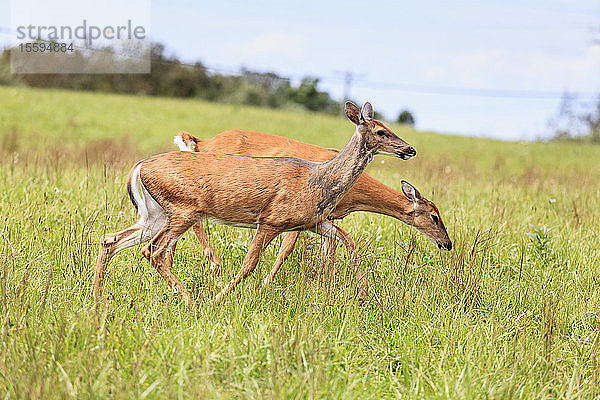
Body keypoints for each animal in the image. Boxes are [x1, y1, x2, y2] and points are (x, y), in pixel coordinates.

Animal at [94, 101, 418, 304]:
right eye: (381, 131)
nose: (410, 149)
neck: (320, 178)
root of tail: (139, 167)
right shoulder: (271, 219)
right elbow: (251, 263)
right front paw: (219, 297)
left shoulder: (312, 222)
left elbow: (346, 242)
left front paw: (362, 293)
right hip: (183, 210)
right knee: (154, 250)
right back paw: (189, 297)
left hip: (155, 214)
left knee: (112, 239)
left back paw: (96, 293)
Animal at [171, 126, 452, 288]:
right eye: (434, 216)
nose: (447, 243)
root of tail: (201, 142)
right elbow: (286, 250)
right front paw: (267, 282)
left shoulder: (326, 217)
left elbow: (330, 250)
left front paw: (325, 282)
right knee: (196, 220)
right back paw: (213, 264)